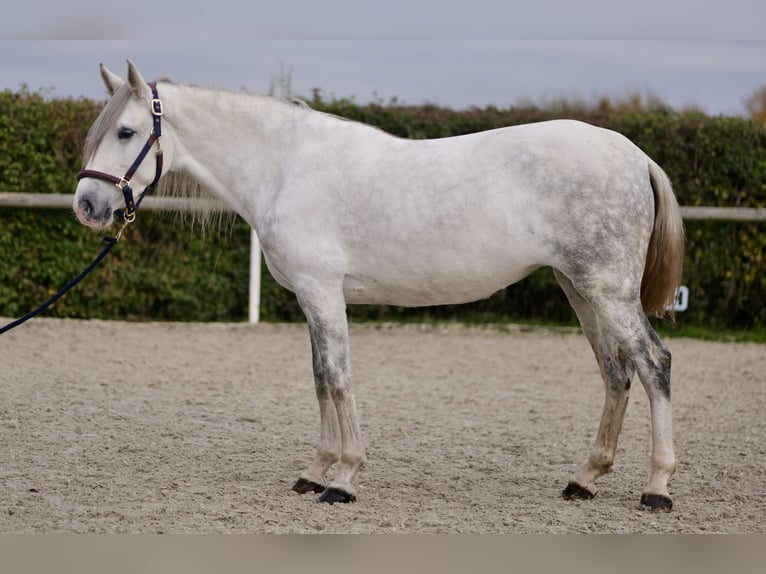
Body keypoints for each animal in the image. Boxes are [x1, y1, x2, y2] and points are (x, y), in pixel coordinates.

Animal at [73, 60, 684, 512]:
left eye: (125, 131)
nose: (87, 206)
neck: (285, 167)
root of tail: (636, 155)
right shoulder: (311, 298)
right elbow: (320, 380)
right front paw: (314, 472)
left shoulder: (323, 292)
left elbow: (339, 379)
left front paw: (344, 479)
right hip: (579, 288)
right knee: (615, 373)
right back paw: (585, 479)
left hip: (608, 291)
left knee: (653, 363)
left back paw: (656, 487)